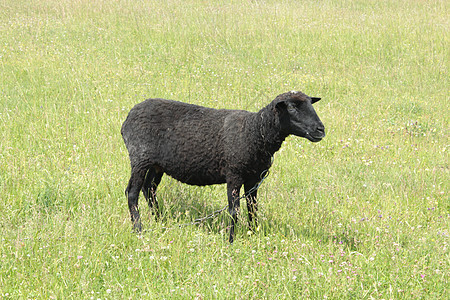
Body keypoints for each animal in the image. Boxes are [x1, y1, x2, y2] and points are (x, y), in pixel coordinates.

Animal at [121, 90, 326, 243]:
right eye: (291, 107)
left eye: (311, 104)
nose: (321, 130)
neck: (255, 131)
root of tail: (128, 117)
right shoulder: (234, 173)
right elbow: (234, 211)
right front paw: (231, 240)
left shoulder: (254, 179)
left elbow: (253, 207)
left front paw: (253, 233)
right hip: (139, 158)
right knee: (132, 192)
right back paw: (138, 229)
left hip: (156, 164)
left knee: (149, 189)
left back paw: (160, 220)